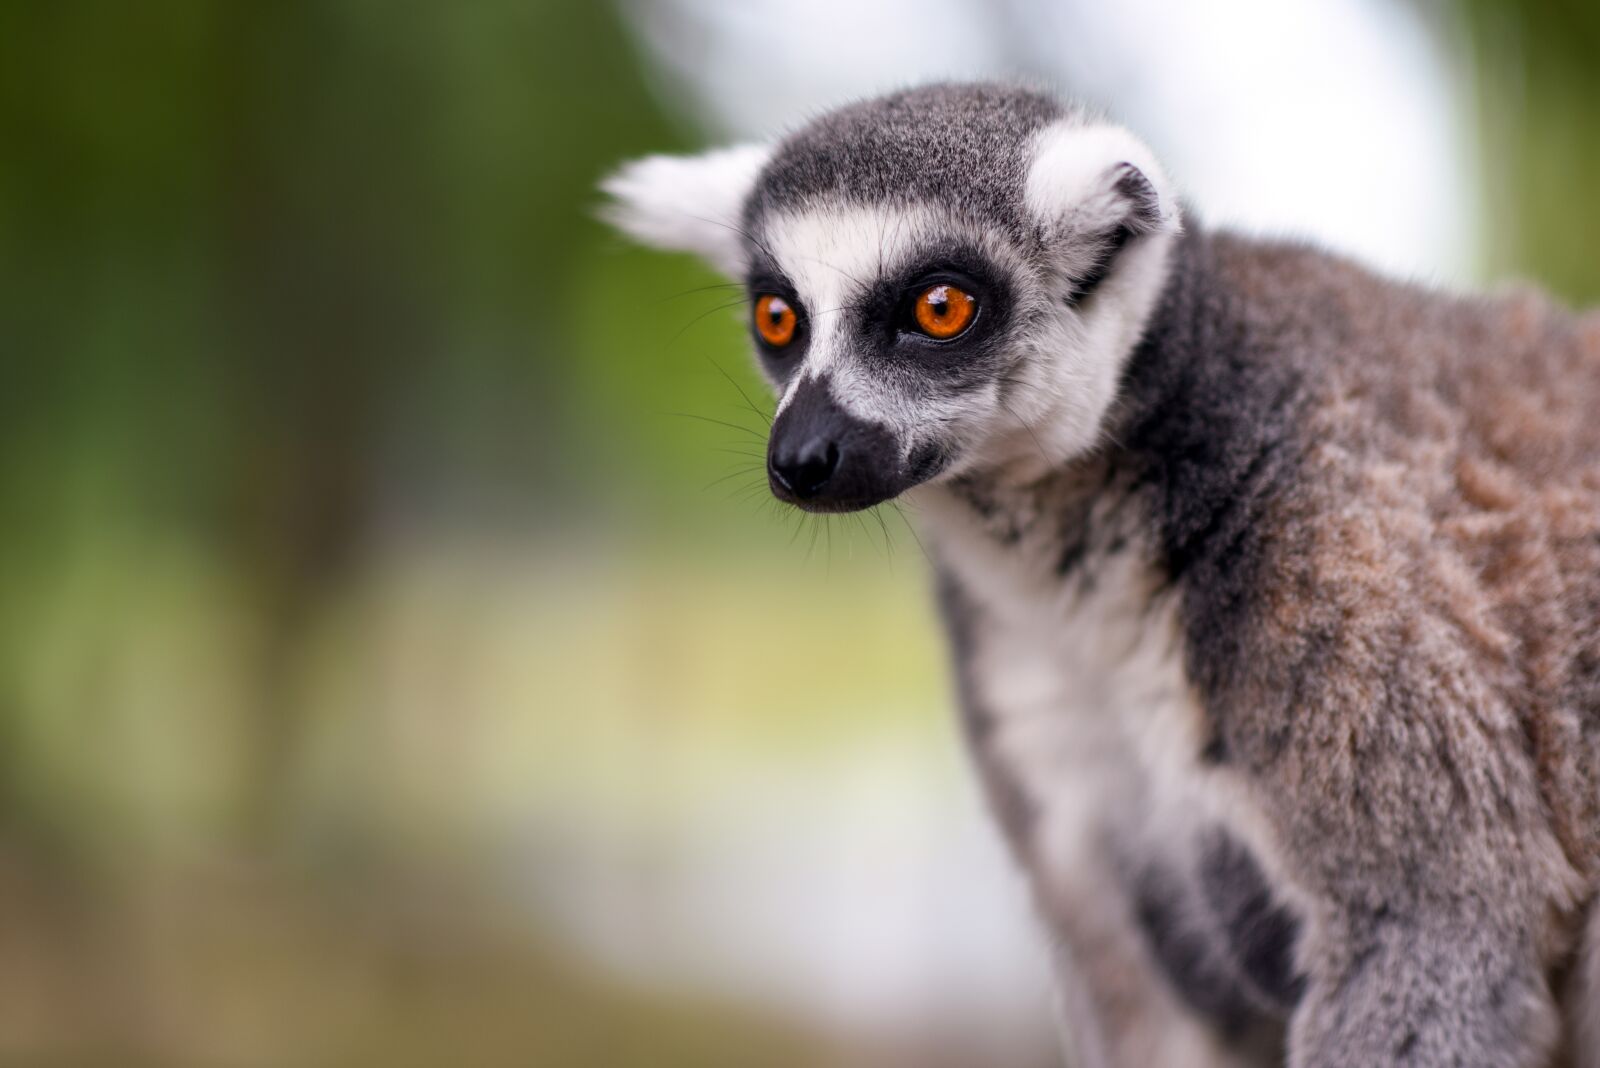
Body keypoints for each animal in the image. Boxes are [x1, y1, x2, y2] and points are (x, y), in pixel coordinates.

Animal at [601, 82, 1600, 1067]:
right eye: (778, 317)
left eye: (939, 308)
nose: (802, 456)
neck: (1083, 573)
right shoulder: (1040, 706)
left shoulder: (1334, 571)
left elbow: (1433, 926)